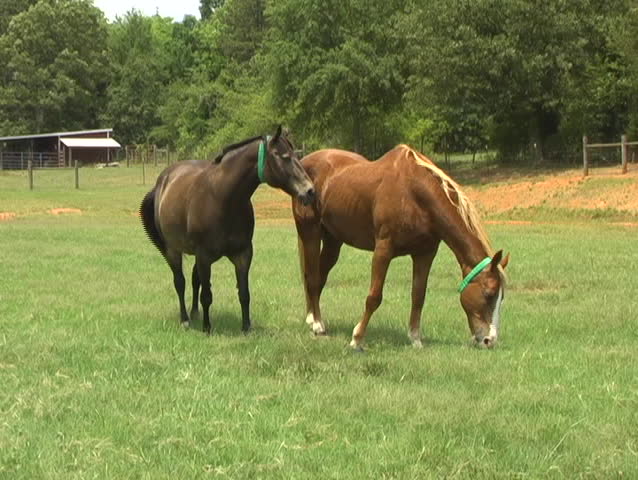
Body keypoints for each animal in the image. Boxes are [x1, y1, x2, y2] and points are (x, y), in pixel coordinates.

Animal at [143, 127, 318, 336]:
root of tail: (163, 181)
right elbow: (207, 295)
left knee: (194, 280)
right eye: (283, 157)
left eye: (296, 155)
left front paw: (246, 327)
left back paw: (194, 314)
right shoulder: (204, 256)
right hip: (173, 250)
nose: (310, 191)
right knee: (180, 282)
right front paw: (207, 328)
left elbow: (244, 293)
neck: (222, 197)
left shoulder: (243, 254)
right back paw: (185, 320)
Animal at [294, 144, 510, 350]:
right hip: (310, 232)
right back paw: (317, 326)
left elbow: (418, 296)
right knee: (312, 279)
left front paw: (415, 339)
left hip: (333, 241)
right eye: (489, 294)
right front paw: (357, 339)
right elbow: (374, 297)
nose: (490, 340)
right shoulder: (383, 250)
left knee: (319, 278)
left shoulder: (425, 253)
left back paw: (313, 319)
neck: (413, 192)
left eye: (502, 297)